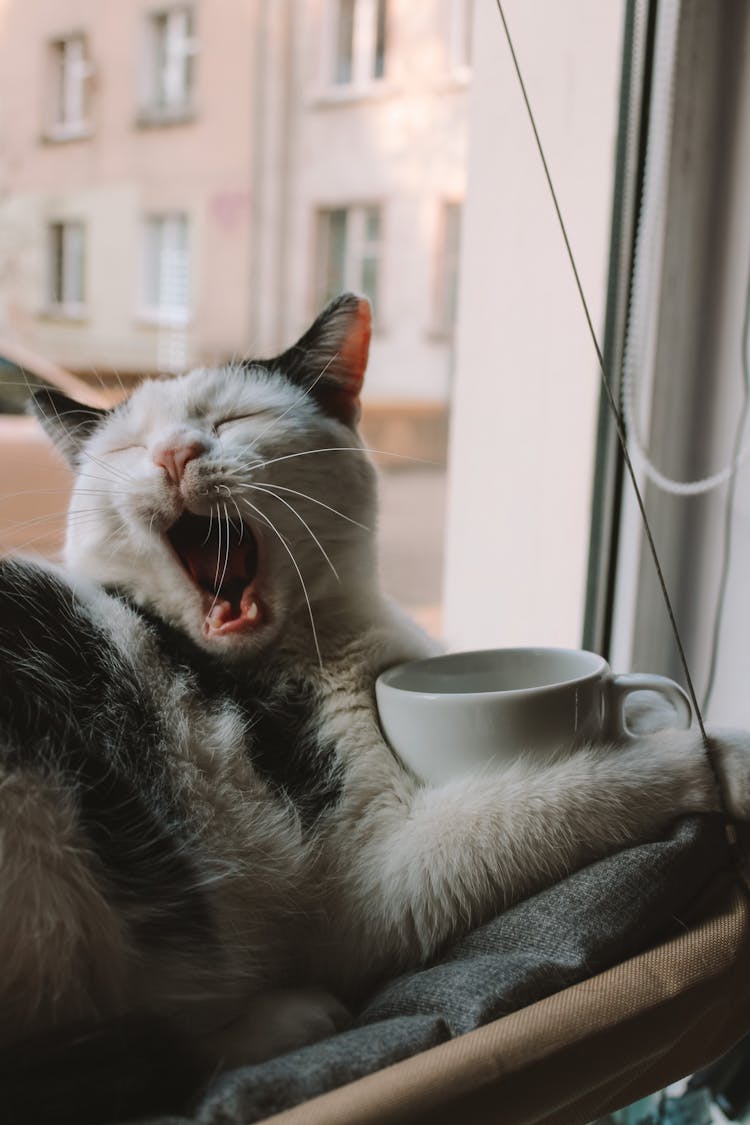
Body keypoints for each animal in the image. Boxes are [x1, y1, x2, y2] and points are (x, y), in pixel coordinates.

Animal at [1, 292, 750, 1125]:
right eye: (132, 446)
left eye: (234, 418)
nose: (173, 455)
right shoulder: (374, 879)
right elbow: (579, 787)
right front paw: (720, 756)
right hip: (37, 824)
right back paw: (282, 1017)